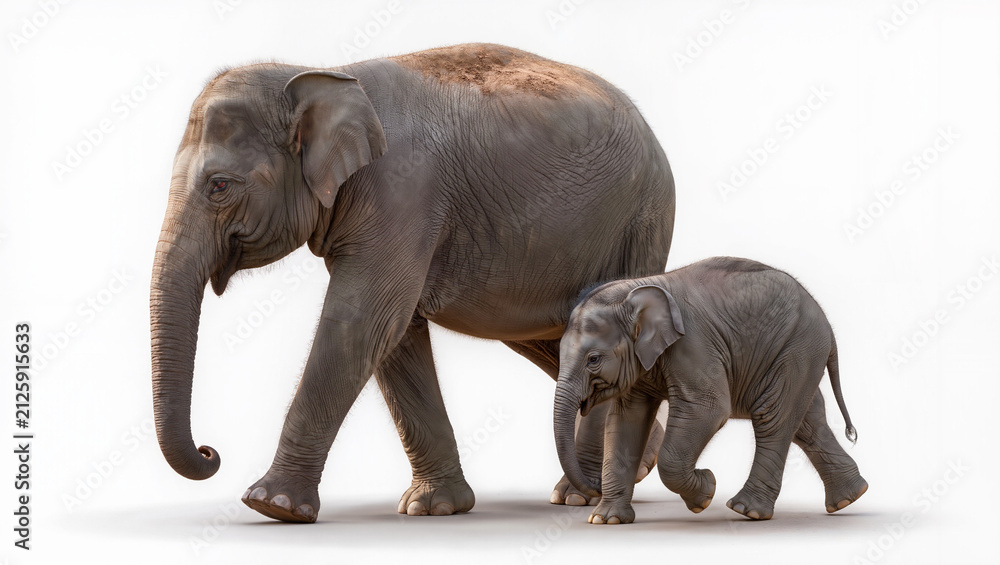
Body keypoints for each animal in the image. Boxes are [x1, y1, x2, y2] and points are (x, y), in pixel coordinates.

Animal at [150, 43, 675, 523]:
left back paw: (578, 496)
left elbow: (364, 318)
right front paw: (434, 507)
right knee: (552, 340)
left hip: (640, 222)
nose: (210, 453)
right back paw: (632, 469)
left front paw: (272, 505)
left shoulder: (401, 192)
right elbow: (395, 333)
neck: (324, 74)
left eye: (219, 186)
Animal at [554, 257, 868, 524]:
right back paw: (848, 499)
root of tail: (828, 326)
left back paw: (747, 510)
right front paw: (606, 520)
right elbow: (627, 421)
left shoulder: (693, 344)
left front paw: (706, 491)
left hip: (798, 348)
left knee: (771, 416)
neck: (636, 287)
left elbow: (708, 410)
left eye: (593, 359)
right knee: (806, 422)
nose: (591, 488)